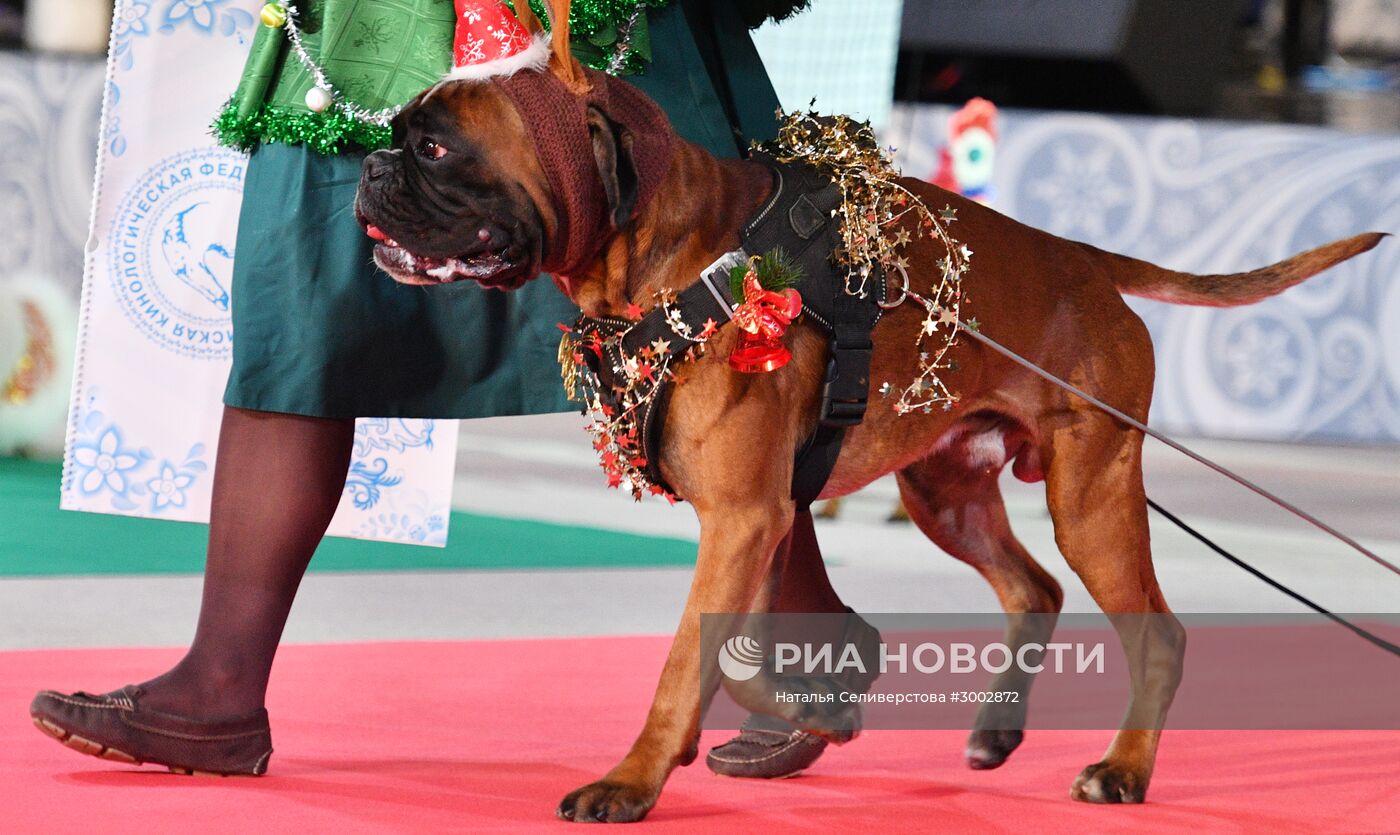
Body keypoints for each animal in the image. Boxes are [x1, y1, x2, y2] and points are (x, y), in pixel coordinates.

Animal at [352, 0, 1388, 823]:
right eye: (402, 133)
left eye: (436, 147)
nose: (369, 165)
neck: (675, 258)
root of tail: (1084, 260)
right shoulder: (759, 523)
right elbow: (737, 655)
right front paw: (803, 711)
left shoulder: (746, 519)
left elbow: (693, 657)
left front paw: (635, 778)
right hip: (949, 494)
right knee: (1035, 589)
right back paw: (997, 731)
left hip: (1090, 501)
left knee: (1157, 635)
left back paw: (1123, 770)